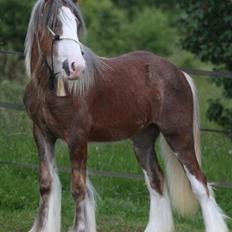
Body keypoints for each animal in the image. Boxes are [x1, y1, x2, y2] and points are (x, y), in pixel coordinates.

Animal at [24, 0, 228, 232]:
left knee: (201, 185)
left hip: (179, 138)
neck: (51, 90)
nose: (77, 67)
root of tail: (179, 72)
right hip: (143, 140)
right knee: (156, 181)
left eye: (76, 23)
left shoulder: (77, 138)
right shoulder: (42, 134)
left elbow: (78, 189)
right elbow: (47, 184)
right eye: (53, 24)